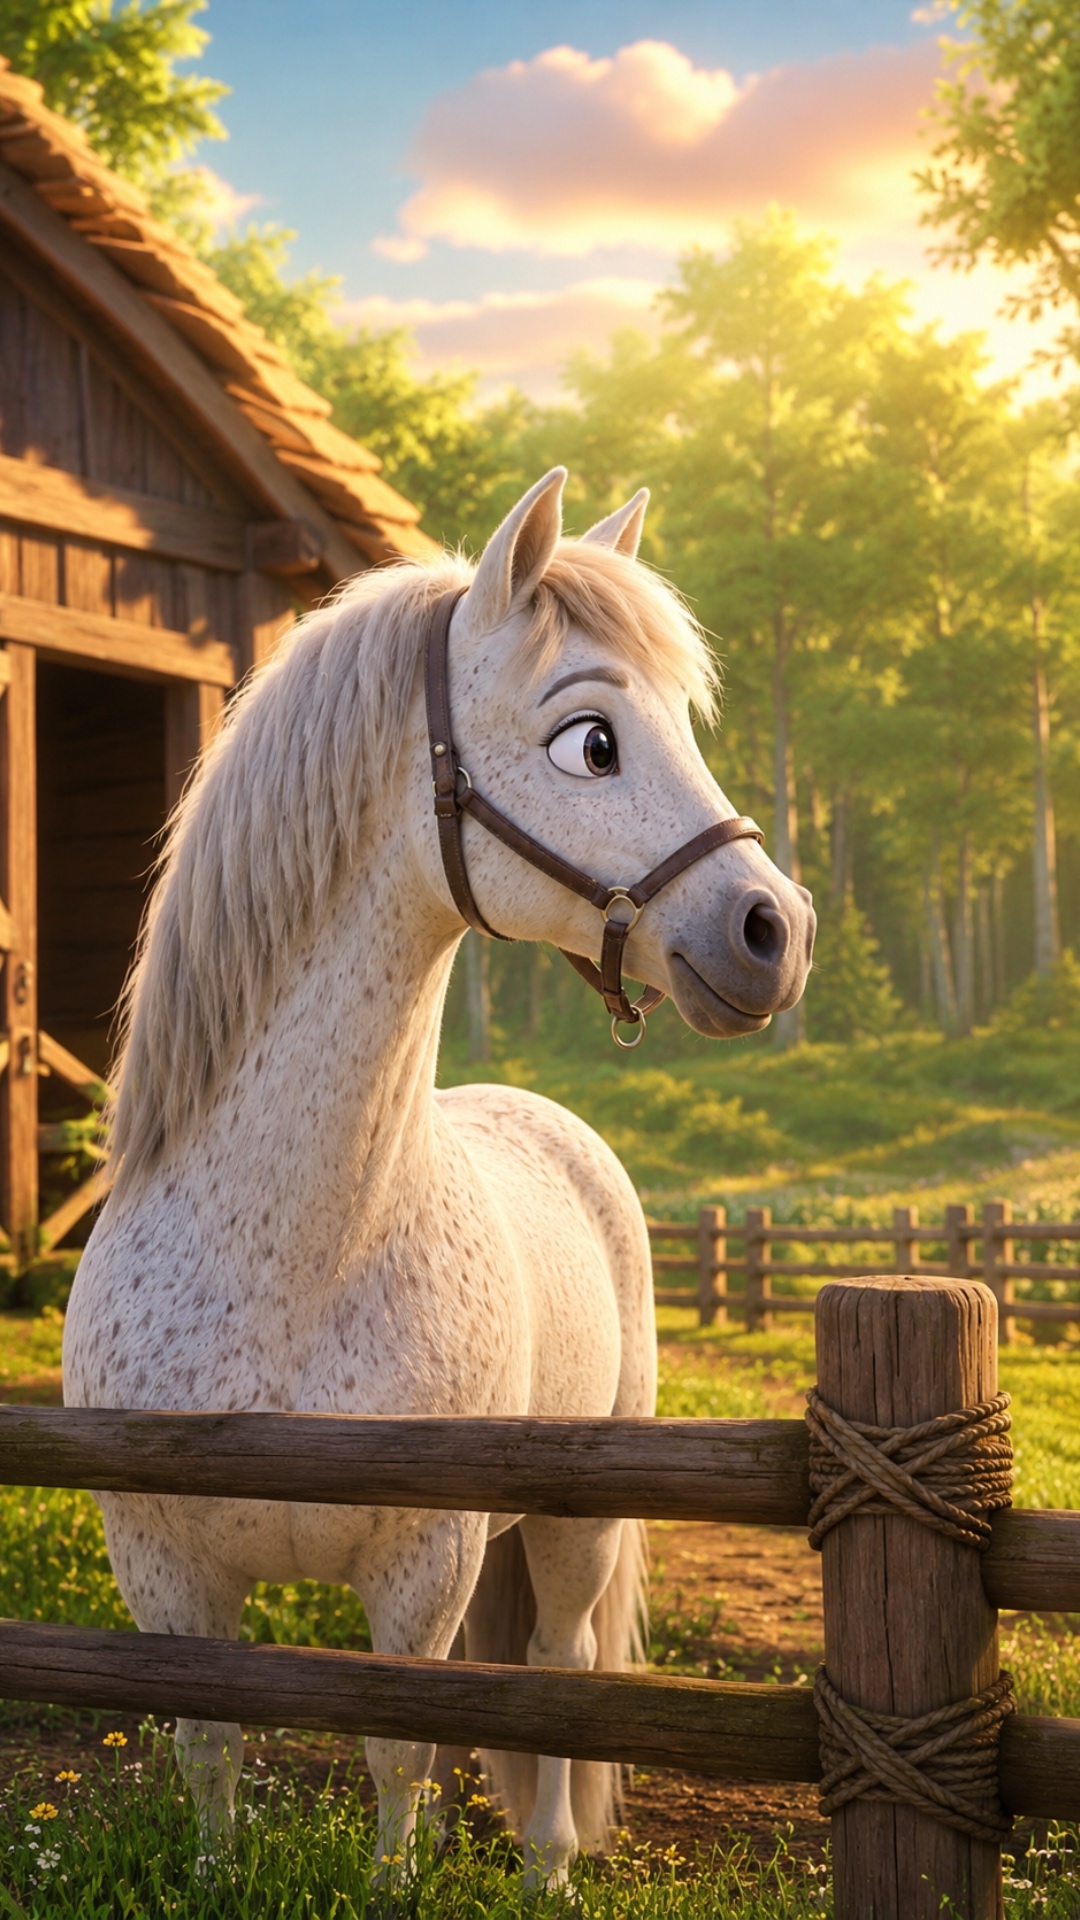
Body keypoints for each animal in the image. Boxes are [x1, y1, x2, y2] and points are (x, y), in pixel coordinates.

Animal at [63, 468, 815, 1886]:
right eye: (590, 739)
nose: (775, 932)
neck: (290, 1259)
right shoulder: (167, 1569)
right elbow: (211, 1750)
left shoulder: (424, 1560)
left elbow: (400, 1751)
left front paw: (401, 1883)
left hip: (573, 1529)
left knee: (558, 1671)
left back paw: (549, 1867)